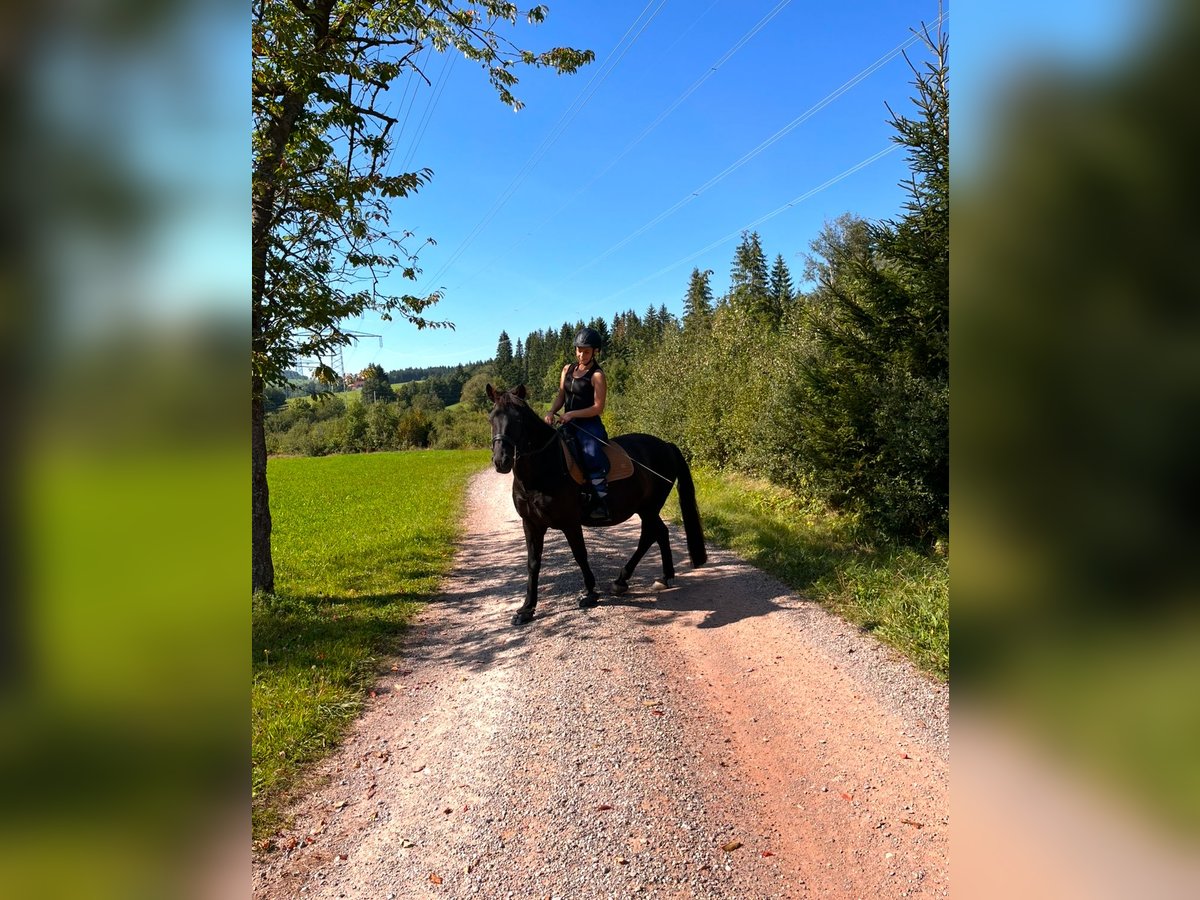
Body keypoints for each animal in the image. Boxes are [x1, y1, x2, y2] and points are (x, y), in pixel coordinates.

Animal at [484, 381, 700, 628]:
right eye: (491, 418)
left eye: (519, 419)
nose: (501, 460)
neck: (543, 469)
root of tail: (665, 445)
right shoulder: (531, 523)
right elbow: (533, 563)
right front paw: (526, 609)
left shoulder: (570, 522)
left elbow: (580, 554)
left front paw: (590, 593)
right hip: (645, 508)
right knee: (657, 533)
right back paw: (649, 578)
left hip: (649, 507)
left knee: (652, 534)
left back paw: (650, 578)